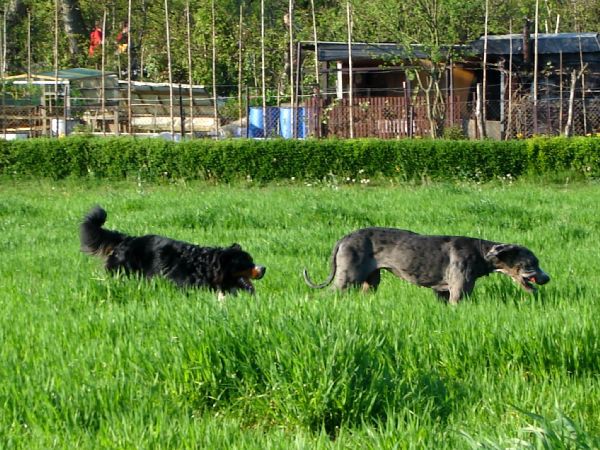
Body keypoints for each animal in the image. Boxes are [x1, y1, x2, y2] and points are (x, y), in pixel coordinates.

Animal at [302, 227, 552, 304]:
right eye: (532, 263)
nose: (547, 278)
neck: (481, 253)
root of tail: (345, 238)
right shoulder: (459, 293)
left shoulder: (442, 293)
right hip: (347, 278)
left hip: (371, 281)